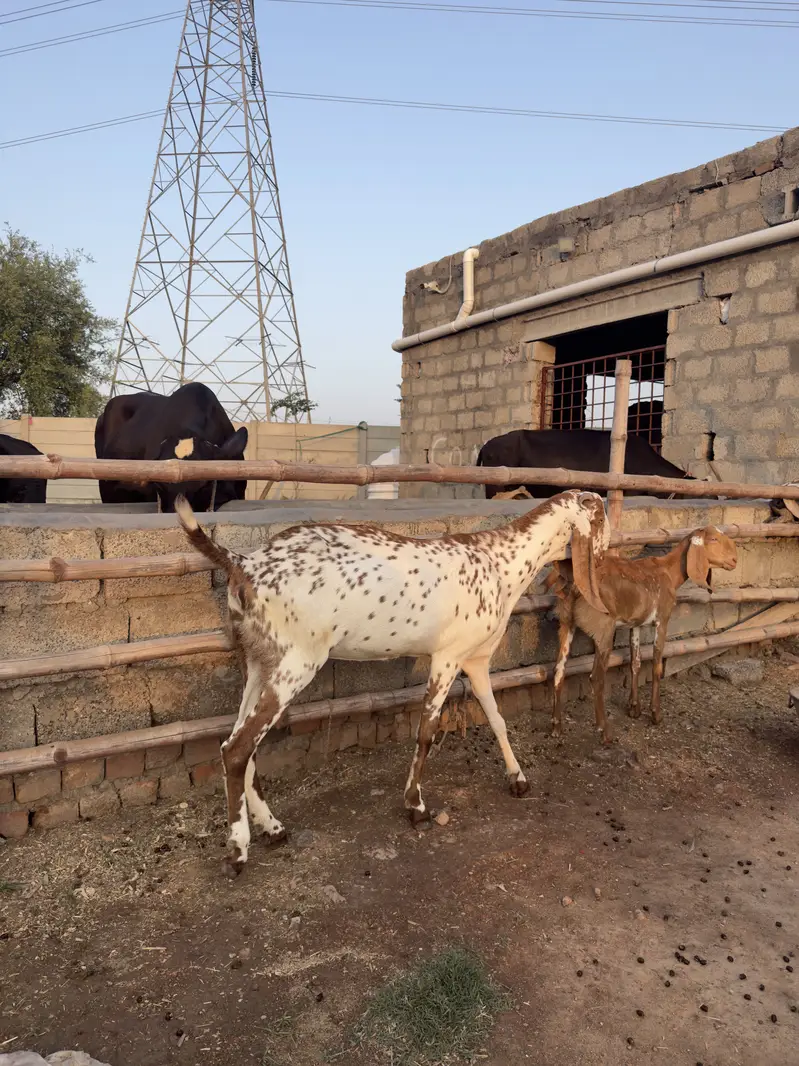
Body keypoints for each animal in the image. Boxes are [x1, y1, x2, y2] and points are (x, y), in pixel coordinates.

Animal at [175, 489, 610, 877]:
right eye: (601, 515)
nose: (608, 548)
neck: (500, 562)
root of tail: (244, 563)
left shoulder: (475, 660)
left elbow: (497, 718)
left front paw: (517, 779)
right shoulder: (447, 656)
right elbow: (427, 732)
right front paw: (415, 806)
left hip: (258, 661)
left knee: (236, 743)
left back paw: (272, 828)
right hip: (296, 661)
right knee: (238, 749)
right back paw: (238, 851)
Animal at [546, 526, 737, 744]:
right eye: (713, 539)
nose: (735, 560)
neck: (669, 571)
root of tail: (575, 584)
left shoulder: (635, 624)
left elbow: (635, 662)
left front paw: (634, 708)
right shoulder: (662, 619)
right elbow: (656, 665)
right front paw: (655, 714)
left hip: (566, 622)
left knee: (559, 670)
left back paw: (556, 726)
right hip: (604, 628)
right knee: (596, 677)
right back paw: (604, 731)